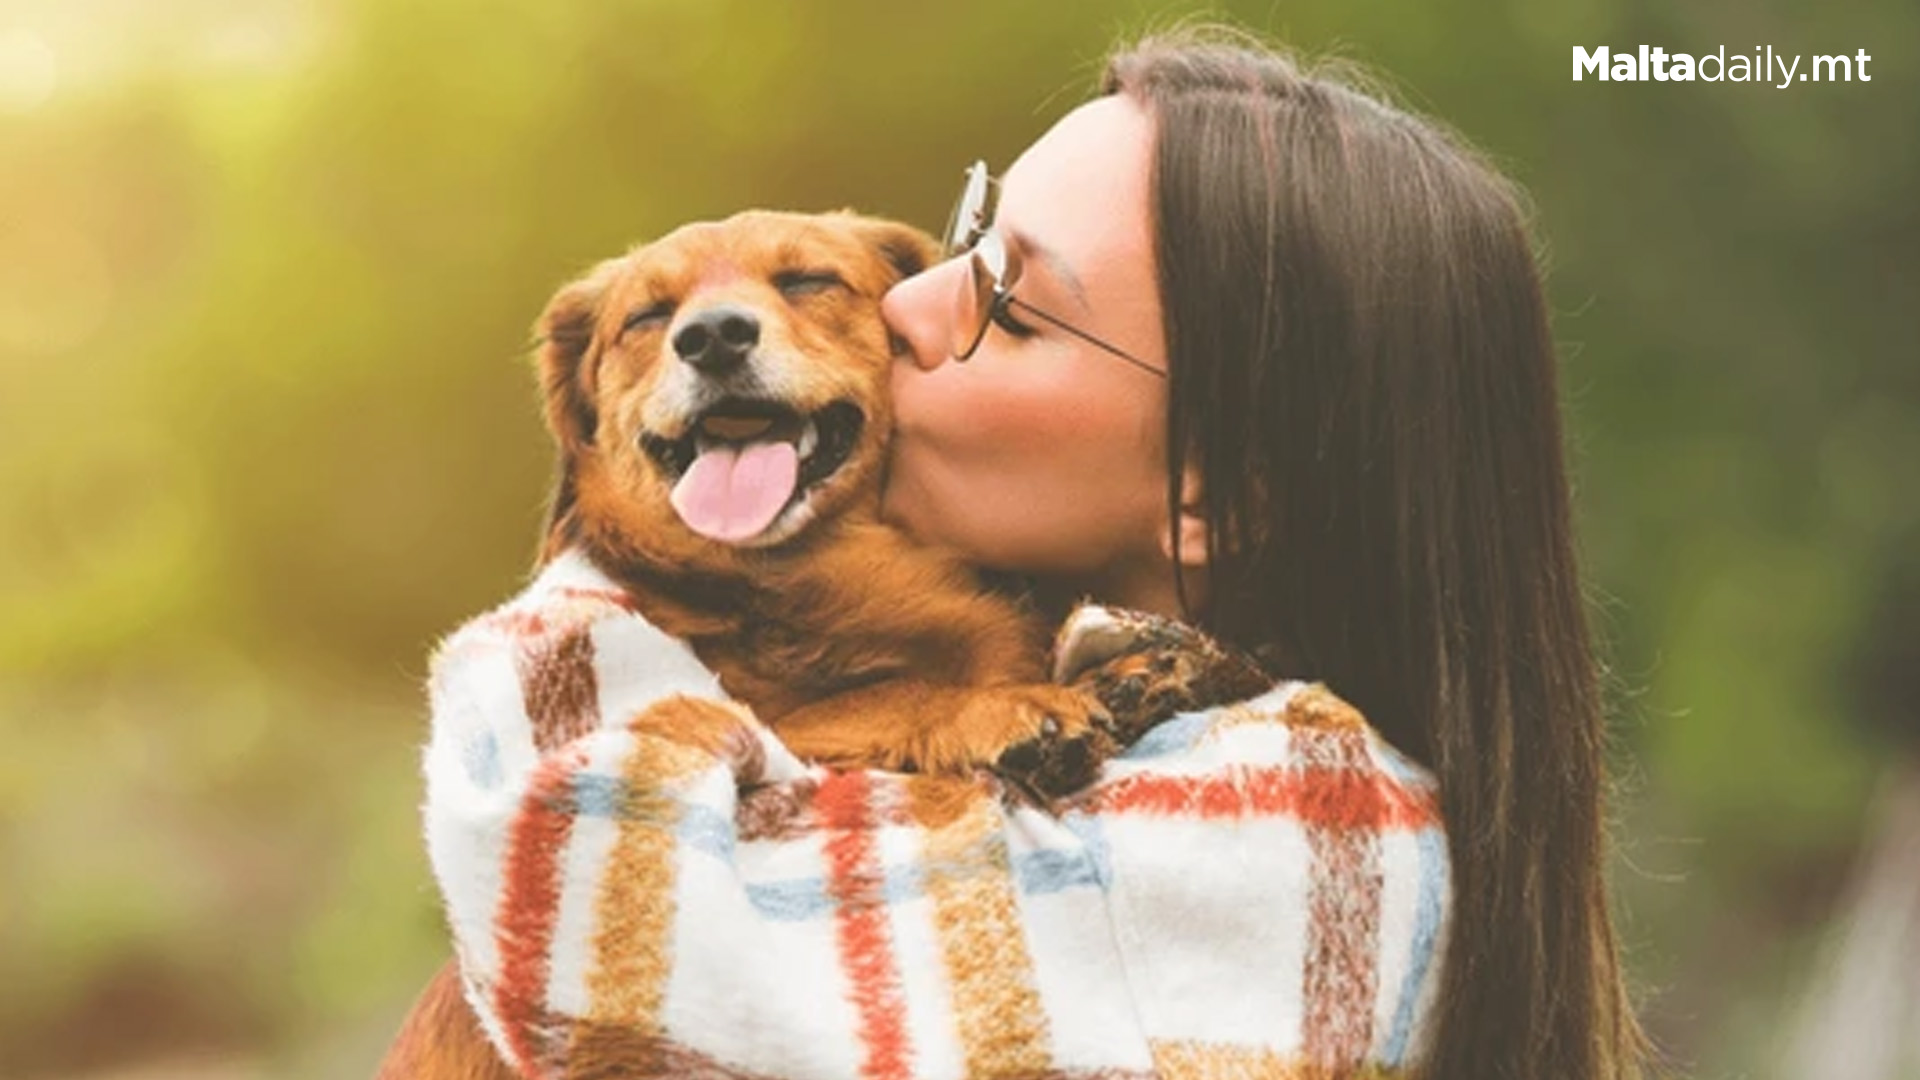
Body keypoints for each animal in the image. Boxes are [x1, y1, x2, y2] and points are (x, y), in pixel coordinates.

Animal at [376, 205, 1121, 1068]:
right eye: (649, 317)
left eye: (807, 280)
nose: (712, 337)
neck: (806, 577)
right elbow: (882, 696)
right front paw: (1001, 710)